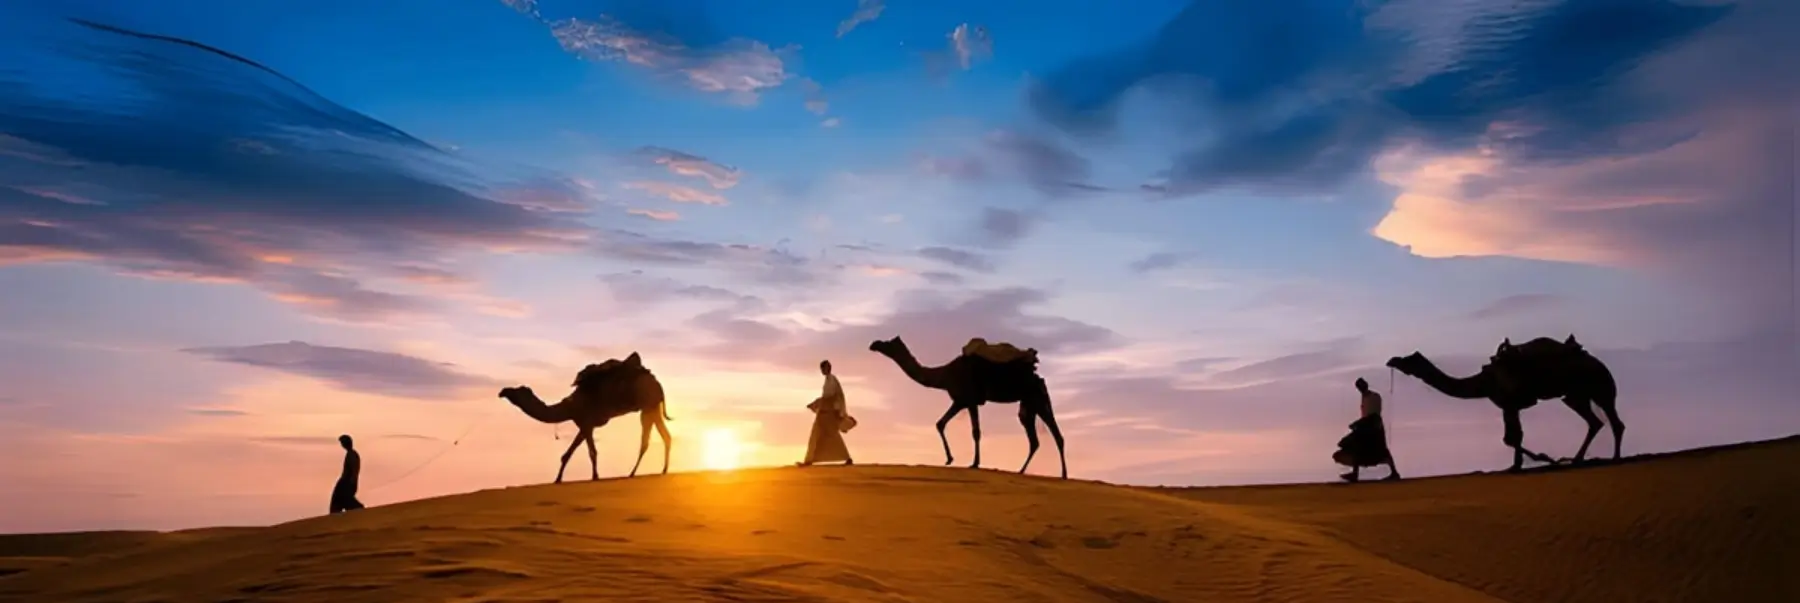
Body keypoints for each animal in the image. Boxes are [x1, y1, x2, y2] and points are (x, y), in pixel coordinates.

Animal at [497, 352, 673, 483]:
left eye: (518, 390)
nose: (502, 391)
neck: (570, 406)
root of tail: (656, 382)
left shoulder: (587, 423)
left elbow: (592, 452)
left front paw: (595, 476)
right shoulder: (584, 425)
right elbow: (567, 454)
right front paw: (557, 479)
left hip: (648, 405)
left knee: (646, 441)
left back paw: (632, 473)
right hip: (653, 406)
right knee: (665, 436)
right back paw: (662, 470)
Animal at [868, 336, 1068, 479]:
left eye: (888, 343)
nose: (874, 344)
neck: (944, 374)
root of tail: (1036, 374)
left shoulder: (970, 400)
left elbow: (975, 432)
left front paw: (974, 463)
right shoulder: (960, 401)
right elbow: (940, 423)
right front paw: (949, 459)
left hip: (1037, 397)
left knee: (1056, 434)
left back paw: (1063, 474)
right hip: (1028, 404)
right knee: (1035, 439)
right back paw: (1021, 471)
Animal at [1386, 335, 1624, 472]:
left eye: (1408, 359)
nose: (1391, 360)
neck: (1483, 382)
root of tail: (1598, 362)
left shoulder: (1510, 403)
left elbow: (1511, 438)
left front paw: (1538, 459)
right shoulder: (1510, 406)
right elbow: (1512, 437)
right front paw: (1523, 463)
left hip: (1600, 387)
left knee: (1614, 422)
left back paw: (1614, 458)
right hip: (1575, 395)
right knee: (1595, 421)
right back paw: (1577, 459)